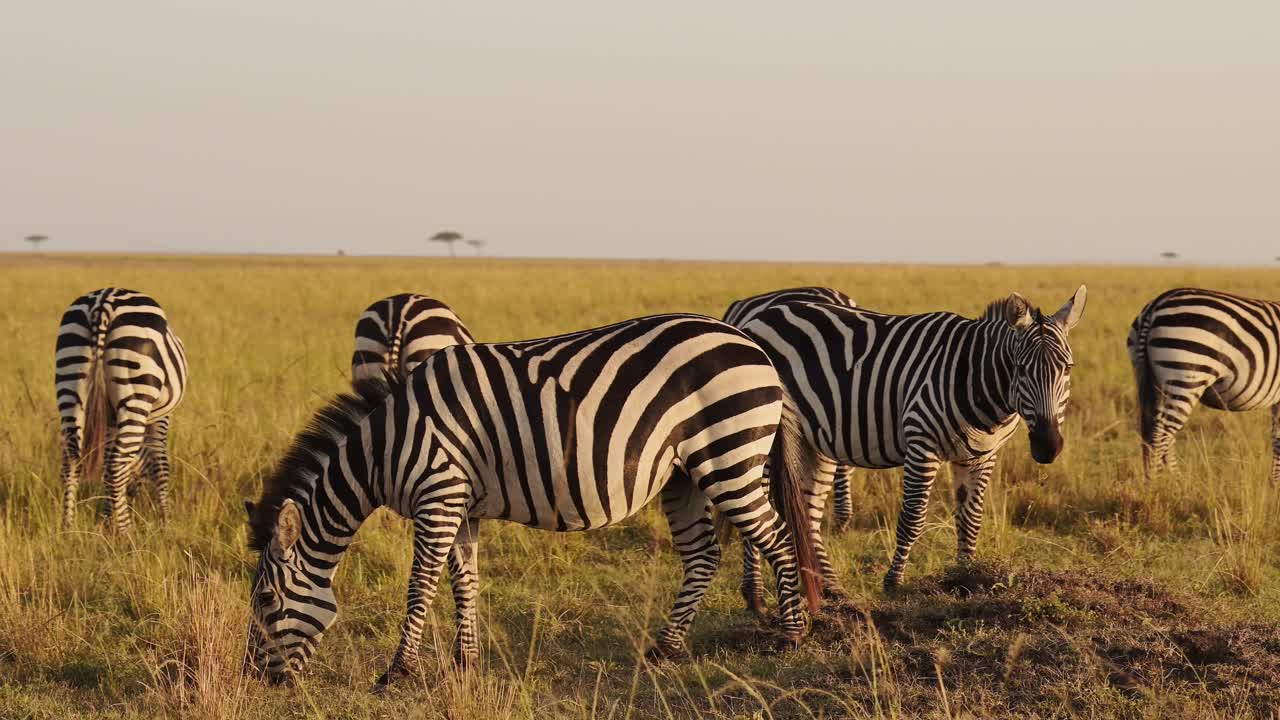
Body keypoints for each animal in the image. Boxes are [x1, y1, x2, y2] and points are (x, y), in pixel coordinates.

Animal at [56, 288, 188, 532]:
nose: (138, 497)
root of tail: (104, 300)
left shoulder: (109, 419)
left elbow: (107, 462)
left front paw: (107, 519)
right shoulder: (162, 417)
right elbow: (160, 464)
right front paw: (166, 522)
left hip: (70, 381)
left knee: (72, 461)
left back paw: (67, 528)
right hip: (136, 392)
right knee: (117, 466)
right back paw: (127, 533)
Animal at [244, 314, 820, 687]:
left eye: (267, 601)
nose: (258, 681)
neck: (387, 445)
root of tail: (757, 348)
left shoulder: (438, 494)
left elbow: (419, 586)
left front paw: (397, 671)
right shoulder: (462, 505)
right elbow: (466, 581)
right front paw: (465, 664)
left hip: (728, 454)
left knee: (776, 537)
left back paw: (791, 636)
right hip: (685, 473)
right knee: (703, 555)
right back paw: (665, 649)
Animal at [738, 287, 1086, 593]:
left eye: (1068, 368)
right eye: (1020, 368)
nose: (1048, 446)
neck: (978, 382)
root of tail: (758, 316)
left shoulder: (981, 456)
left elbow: (970, 518)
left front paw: (965, 577)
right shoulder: (922, 444)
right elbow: (913, 518)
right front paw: (893, 581)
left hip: (815, 439)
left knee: (808, 511)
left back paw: (830, 586)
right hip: (764, 435)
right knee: (757, 510)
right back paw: (755, 592)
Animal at [1129, 287, 1280, 481]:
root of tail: (1157, 303)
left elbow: (1276, 439)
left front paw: (1274, 484)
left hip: (1154, 380)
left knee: (1161, 434)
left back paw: (1178, 482)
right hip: (1186, 376)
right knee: (1161, 436)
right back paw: (1157, 484)